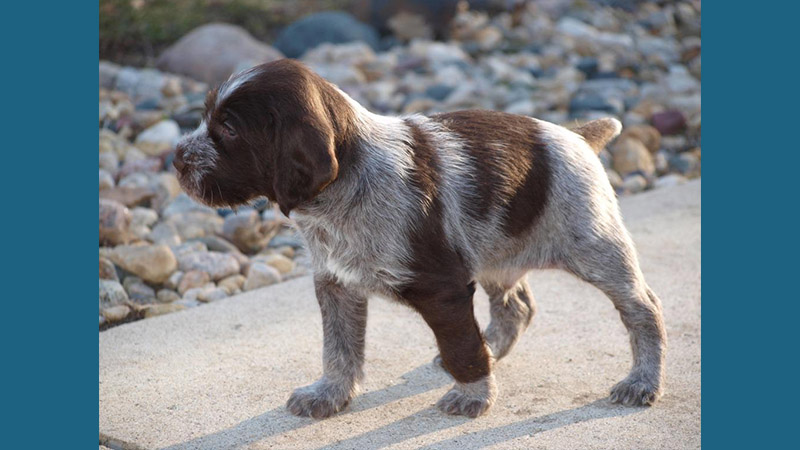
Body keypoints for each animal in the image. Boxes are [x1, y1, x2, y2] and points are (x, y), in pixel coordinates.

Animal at [175, 59, 668, 418]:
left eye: (230, 129)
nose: (176, 158)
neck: (350, 182)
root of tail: (575, 135)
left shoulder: (443, 289)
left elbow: (461, 347)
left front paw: (473, 394)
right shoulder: (335, 283)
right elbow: (338, 349)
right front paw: (329, 394)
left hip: (594, 245)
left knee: (642, 308)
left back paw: (642, 382)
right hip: (497, 251)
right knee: (517, 307)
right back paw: (495, 347)